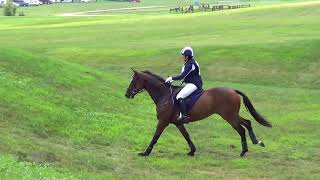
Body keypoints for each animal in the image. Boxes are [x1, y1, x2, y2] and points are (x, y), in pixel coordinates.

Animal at [124, 69, 272, 157]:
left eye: (133, 80)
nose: (126, 94)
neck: (165, 95)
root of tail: (233, 90)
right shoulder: (178, 123)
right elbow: (187, 136)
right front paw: (192, 151)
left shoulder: (163, 122)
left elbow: (155, 137)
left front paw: (146, 152)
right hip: (232, 115)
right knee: (248, 122)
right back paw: (257, 142)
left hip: (229, 116)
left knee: (241, 129)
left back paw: (244, 151)